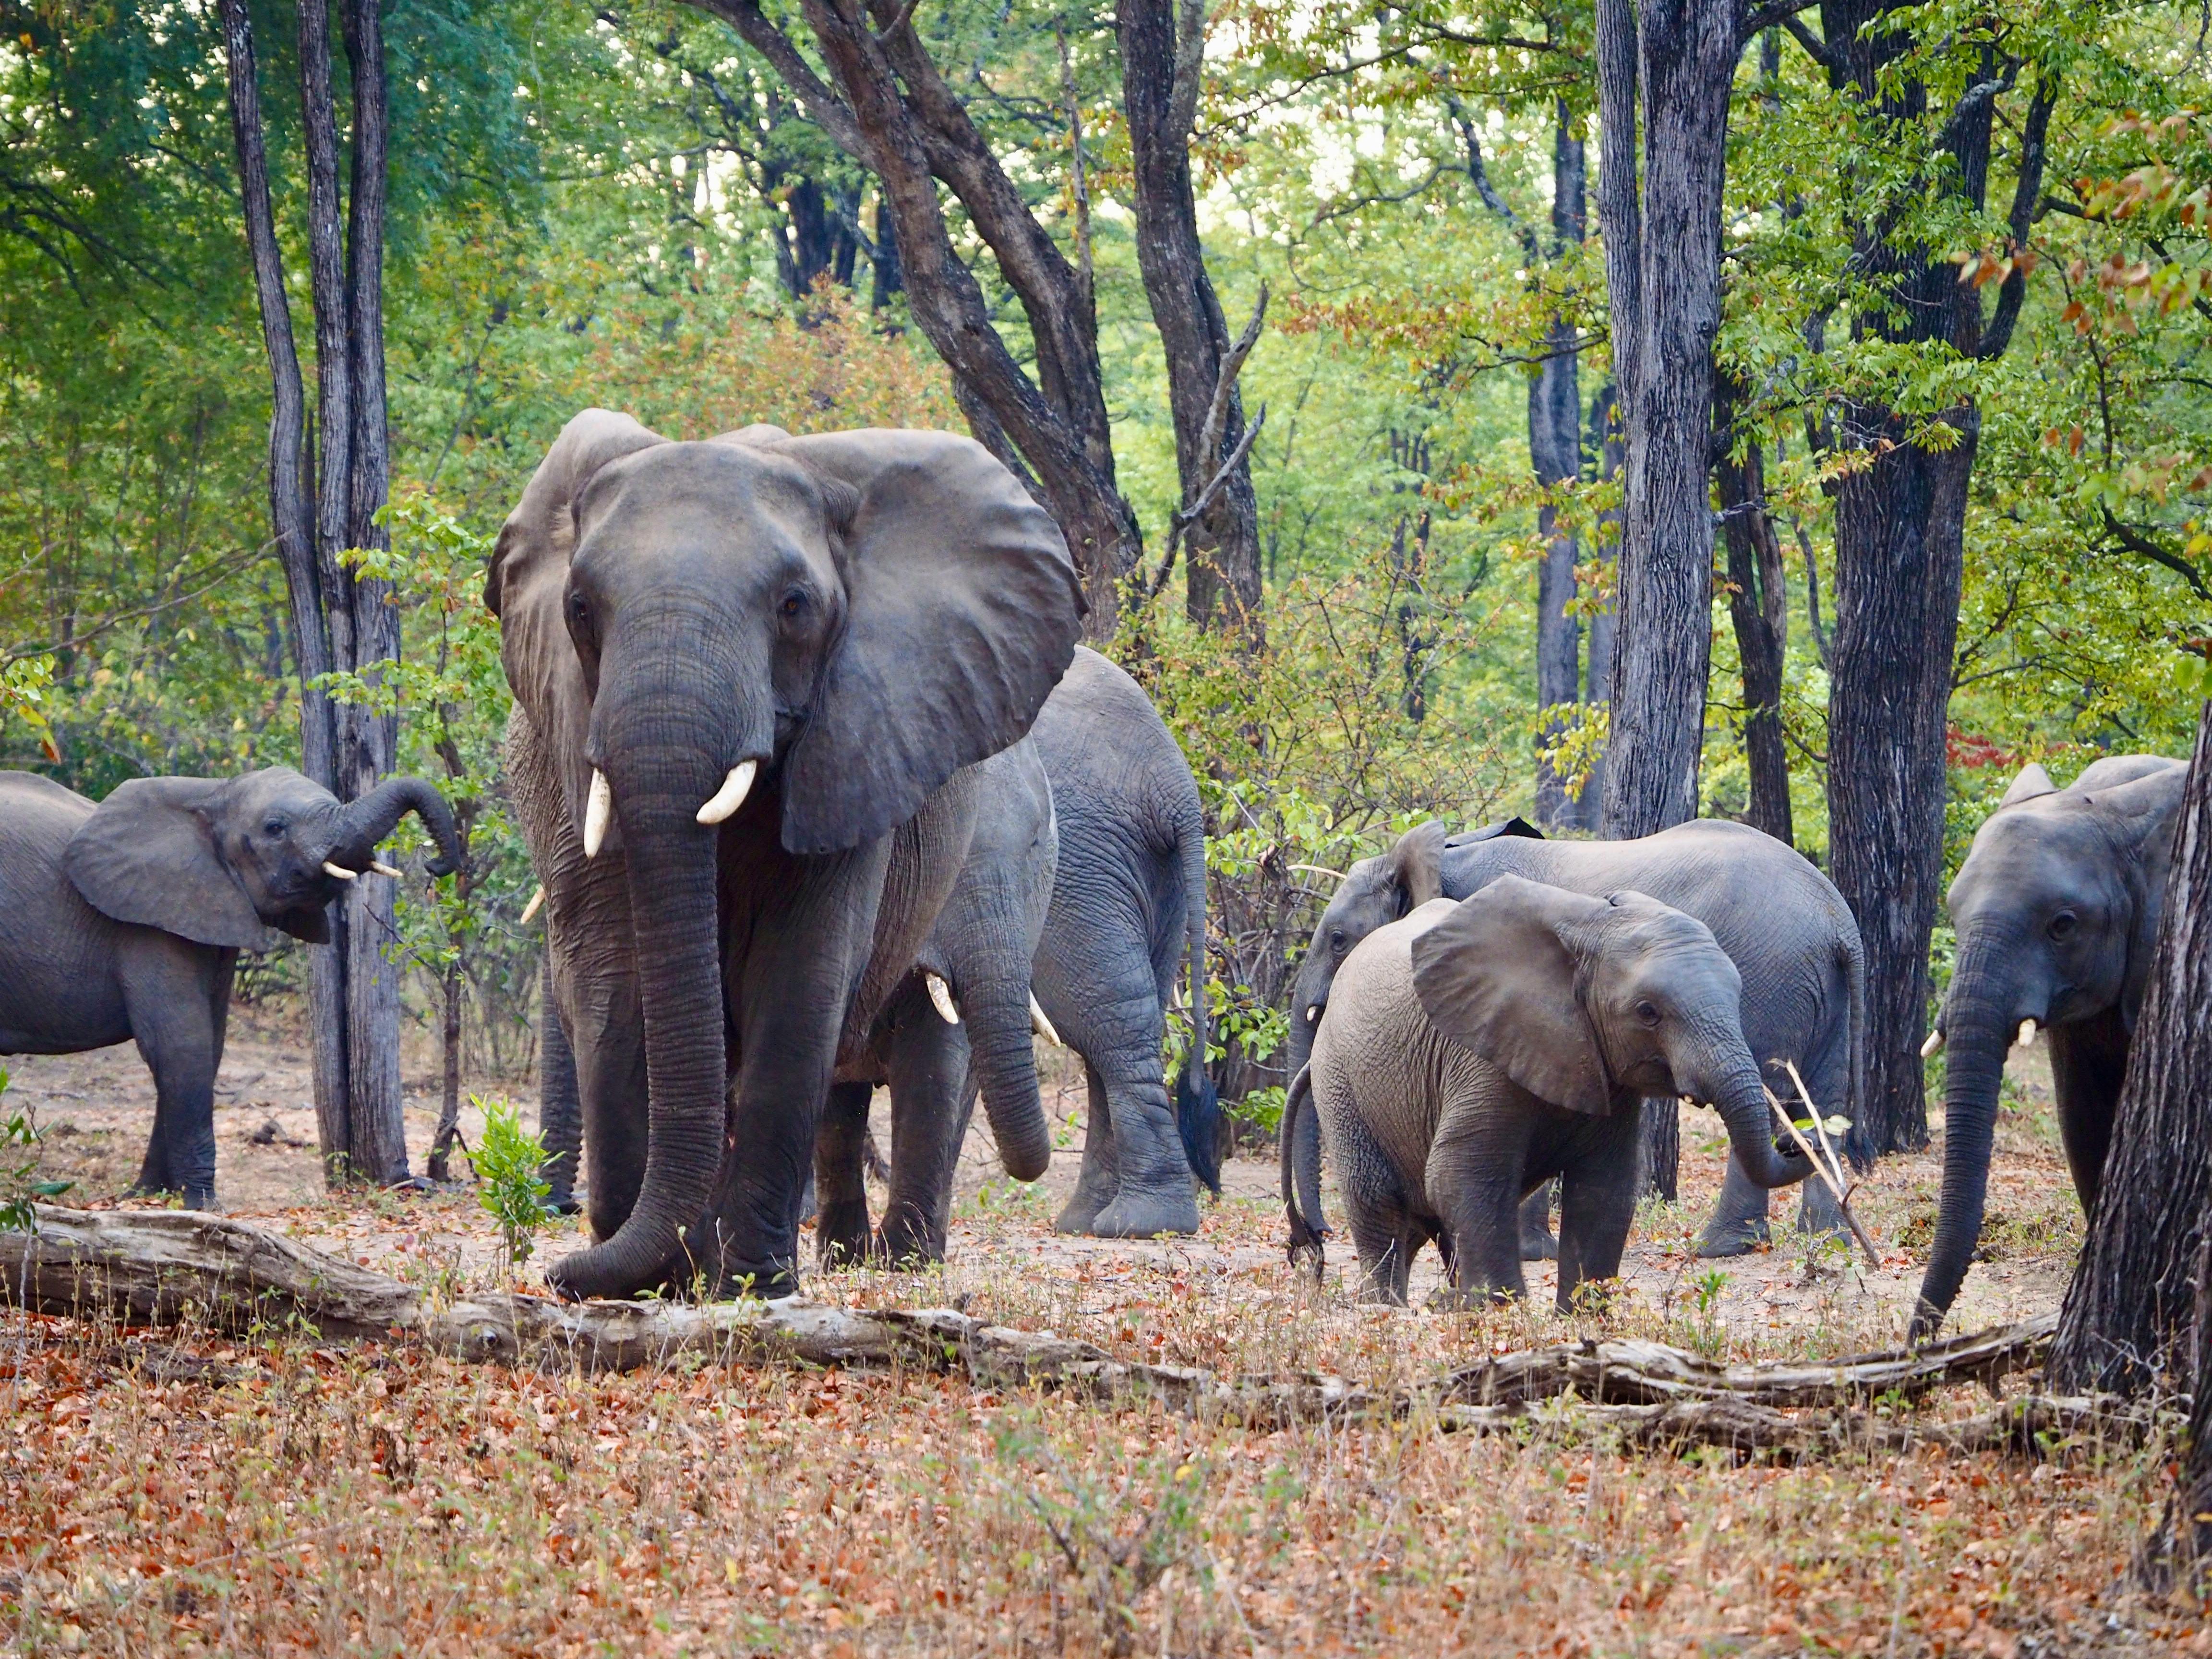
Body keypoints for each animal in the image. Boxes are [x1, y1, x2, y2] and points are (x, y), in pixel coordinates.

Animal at [0, 766, 461, 1208]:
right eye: (275, 828)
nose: (434, 866)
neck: (210, 793)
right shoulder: (146, 923)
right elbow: (182, 1045)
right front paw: (203, 1206)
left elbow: (210, 1046)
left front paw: (149, 1197)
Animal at [490, 409, 1083, 1301]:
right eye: (580, 608)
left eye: (795, 606)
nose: (556, 1273)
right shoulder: (568, 758)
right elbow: (612, 979)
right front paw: (663, 1282)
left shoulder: (856, 753)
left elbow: (804, 977)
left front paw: (753, 1285)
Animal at [1029, 646, 1218, 1239]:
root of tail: (1173, 784)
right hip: (1151, 877)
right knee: (1114, 1022)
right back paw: (1087, 1222)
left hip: (1079, 863)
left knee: (1109, 1022)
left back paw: (1140, 1223)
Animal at [1284, 817, 1864, 1259]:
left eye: (1338, 940)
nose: (1318, 1236)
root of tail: (1840, 921)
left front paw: (1526, 1253)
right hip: (1823, 990)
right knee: (1823, 1099)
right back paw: (1828, 1236)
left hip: (1770, 980)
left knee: (1768, 1096)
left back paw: (1720, 1248)